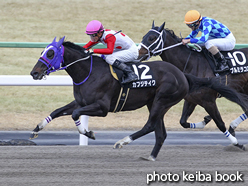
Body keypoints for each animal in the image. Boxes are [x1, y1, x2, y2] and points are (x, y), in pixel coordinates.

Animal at [30, 37, 247, 161]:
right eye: (42, 51)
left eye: (50, 52)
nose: (34, 73)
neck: (89, 71)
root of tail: (182, 74)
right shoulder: (82, 102)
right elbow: (58, 111)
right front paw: (36, 129)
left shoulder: (102, 107)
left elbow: (75, 114)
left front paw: (88, 133)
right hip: (156, 102)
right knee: (160, 133)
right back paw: (150, 157)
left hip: (162, 100)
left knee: (150, 125)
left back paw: (122, 141)